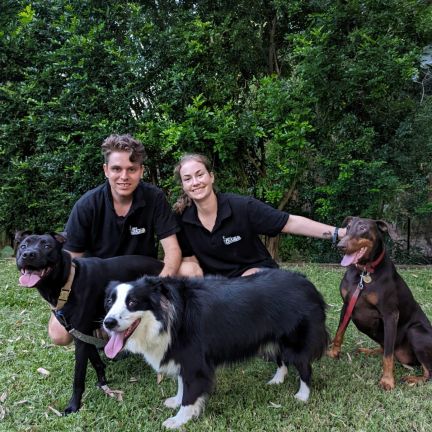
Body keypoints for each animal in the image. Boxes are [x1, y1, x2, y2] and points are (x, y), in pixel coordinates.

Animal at [16, 235, 163, 414]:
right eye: (23, 246)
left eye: (47, 246)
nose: (28, 254)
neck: (68, 284)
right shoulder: (81, 333)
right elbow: (96, 361)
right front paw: (103, 382)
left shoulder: (80, 339)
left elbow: (78, 377)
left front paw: (74, 405)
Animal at [103, 270, 330, 428]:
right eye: (109, 301)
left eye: (133, 302)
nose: (108, 323)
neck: (167, 315)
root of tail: (309, 286)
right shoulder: (183, 355)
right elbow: (182, 383)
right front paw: (176, 401)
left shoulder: (194, 357)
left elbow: (190, 391)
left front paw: (179, 419)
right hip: (276, 337)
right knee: (281, 358)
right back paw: (277, 380)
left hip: (295, 340)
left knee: (304, 367)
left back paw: (302, 395)